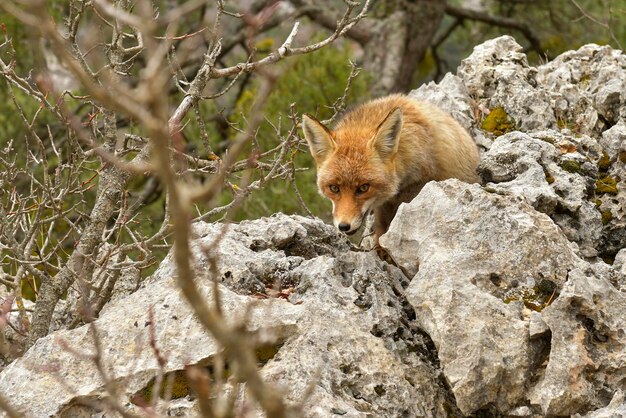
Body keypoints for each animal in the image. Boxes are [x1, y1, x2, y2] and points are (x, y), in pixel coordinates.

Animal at [302, 94, 478, 245]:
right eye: (333, 188)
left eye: (363, 188)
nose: (344, 226)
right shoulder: (384, 204)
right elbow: (381, 224)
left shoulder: (420, 184)